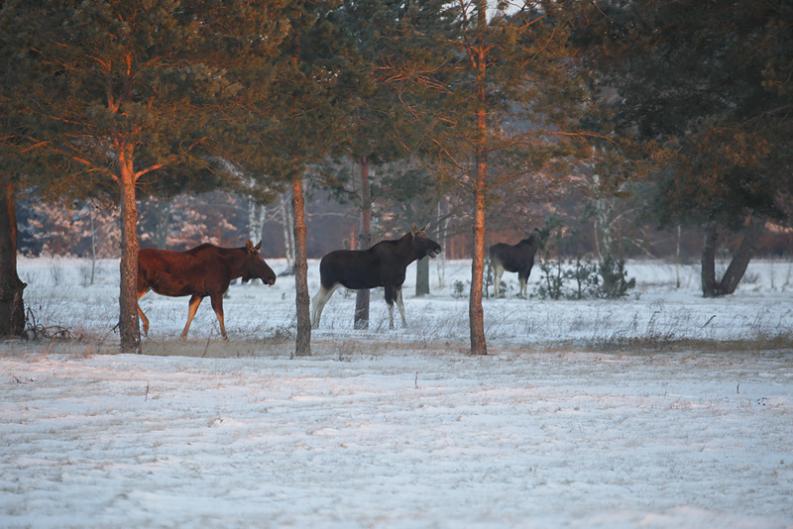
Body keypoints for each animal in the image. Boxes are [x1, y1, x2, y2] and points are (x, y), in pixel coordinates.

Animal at [135, 239, 274, 338]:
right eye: (259, 260)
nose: (272, 277)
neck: (231, 269)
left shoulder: (199, 293)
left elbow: (191, 314)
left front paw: (182, 337)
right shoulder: (216, 291)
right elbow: (221, 316)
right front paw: (226, 339)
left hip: (146, 286)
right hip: (142, 284)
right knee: (131, 299)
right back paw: (146, 325)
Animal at [312, 225, 442, 328]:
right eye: (422, 237)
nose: (438, 247)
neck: (404, 259)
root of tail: (321, 261)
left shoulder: (398, 284)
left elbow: (401, 305)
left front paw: (405, 325)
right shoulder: (388, 283)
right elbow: (390, 304)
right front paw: (391, 326)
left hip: (333, 285)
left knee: (320, 301)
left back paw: (317, 324)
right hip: (327, 283)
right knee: (316, 300)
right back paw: (313, 325)